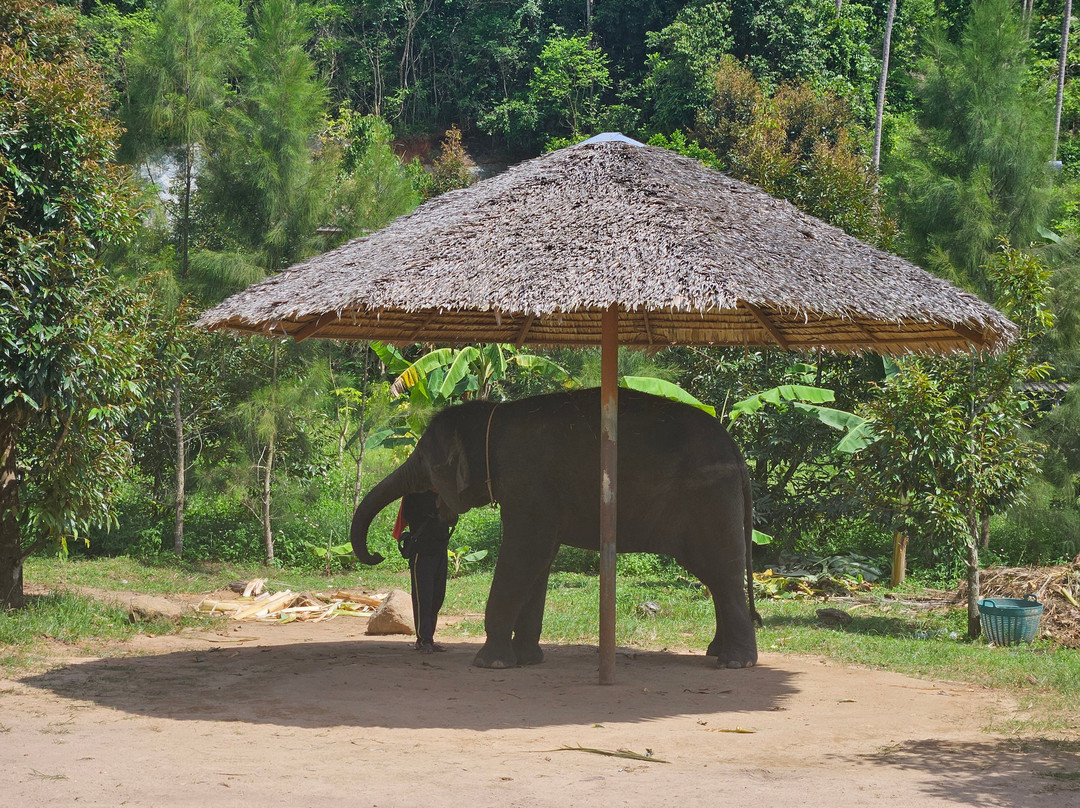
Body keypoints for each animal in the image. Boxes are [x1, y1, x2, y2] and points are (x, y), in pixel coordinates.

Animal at [350, 388, 759, 670]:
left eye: (425, 461)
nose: (382, 551)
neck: (492, 415)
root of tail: (738, 453)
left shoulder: (529, 485)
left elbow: (524, 553)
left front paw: (491, 663)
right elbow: (539, 560)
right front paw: (527, 660)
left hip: (708, 499)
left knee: (720, 571)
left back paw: (735, 662)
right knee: (715, 575)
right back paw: (717, 653)